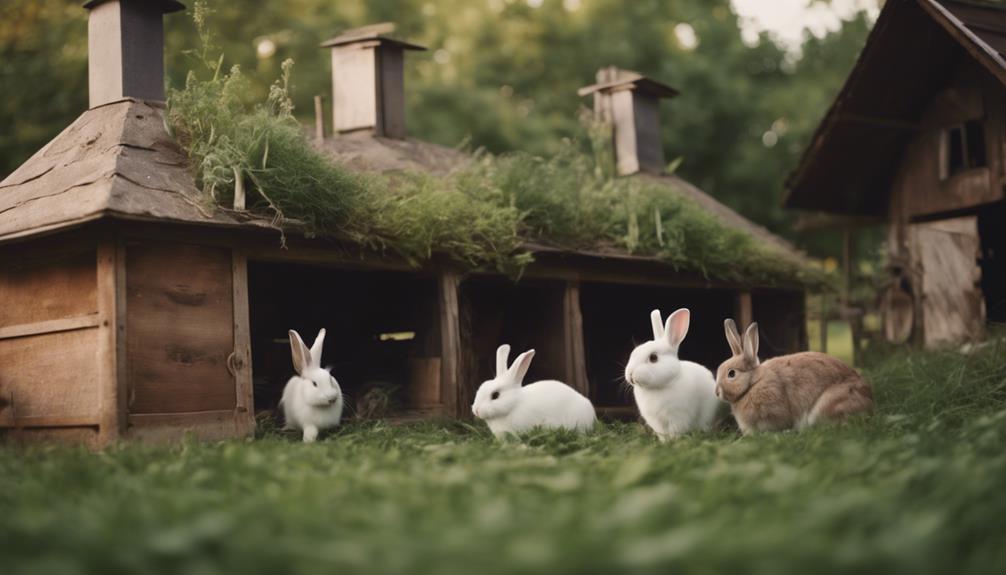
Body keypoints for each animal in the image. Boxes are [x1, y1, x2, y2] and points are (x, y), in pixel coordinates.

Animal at [624, 309, 721, 441]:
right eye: (634, 353)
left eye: (653, 358)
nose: (630, 374)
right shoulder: (656, 421)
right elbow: (662, 433)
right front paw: (664, 442)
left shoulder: (678, 417)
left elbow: (676, 431)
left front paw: (674, 441)